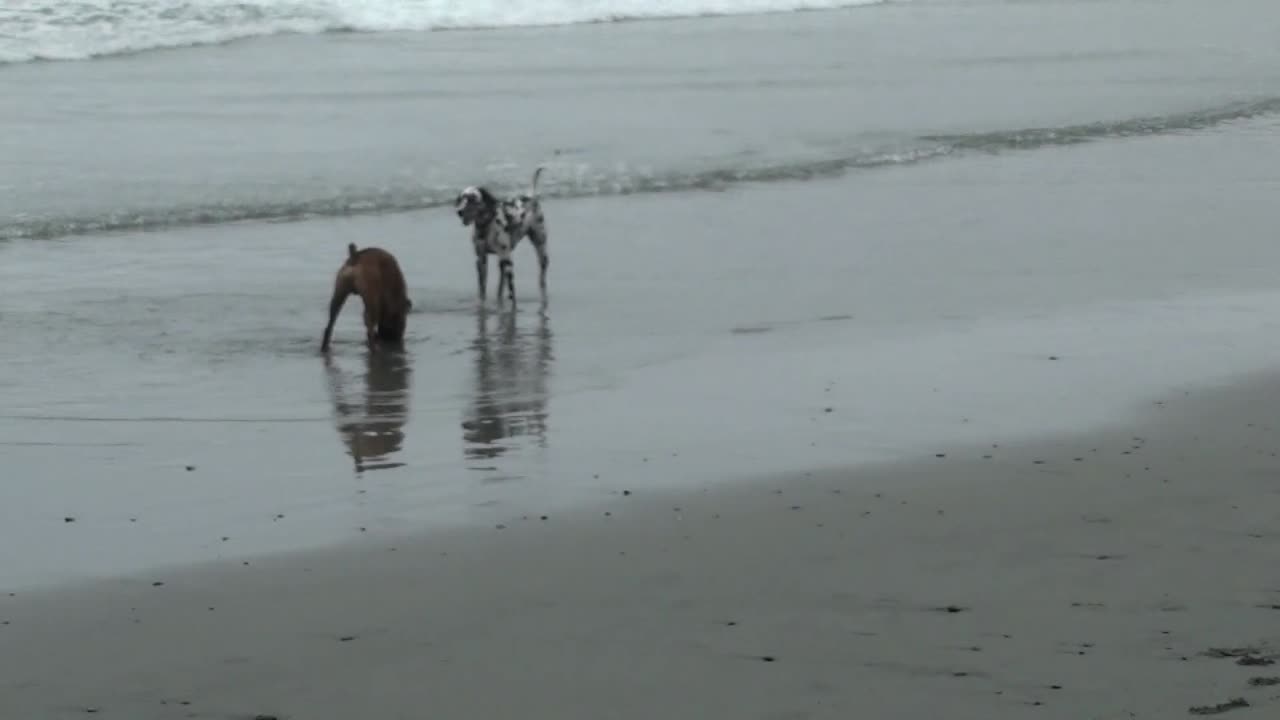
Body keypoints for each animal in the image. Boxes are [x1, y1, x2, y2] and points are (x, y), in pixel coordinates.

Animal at [453, 166, 547, 307]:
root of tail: (530, 196)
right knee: (500, 287)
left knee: (541, 278)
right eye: (462, 198)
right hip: (502, 262)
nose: (460, 211)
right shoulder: (481, 261)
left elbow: (512, 292)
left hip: (540, 250)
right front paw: (481, 302)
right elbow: (482, 289)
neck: (486, 227)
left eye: (473, 198)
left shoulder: (508, 262)